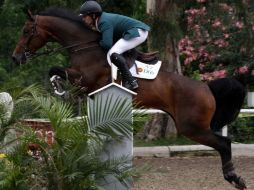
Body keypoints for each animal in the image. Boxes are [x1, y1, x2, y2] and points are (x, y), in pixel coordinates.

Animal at [11, 7, 246, 190]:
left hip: (192, 127)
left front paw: (58, 86)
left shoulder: (86, 79)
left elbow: (56, 69)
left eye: (26, 31)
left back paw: (234, 178)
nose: (15, 58)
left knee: (224, 143)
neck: (84, 46)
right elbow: (56, 71)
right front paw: (58, 85)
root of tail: (206, 87)